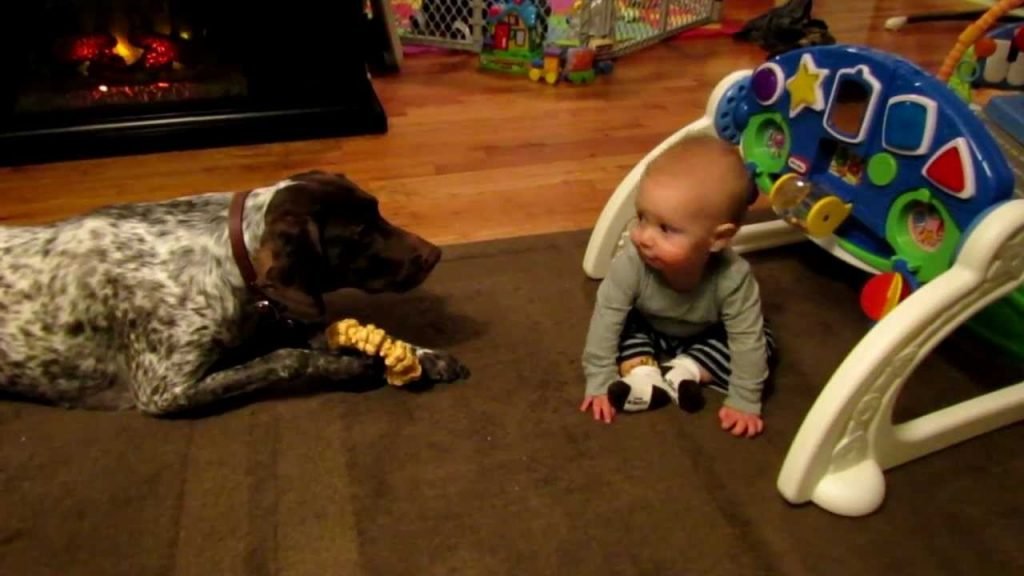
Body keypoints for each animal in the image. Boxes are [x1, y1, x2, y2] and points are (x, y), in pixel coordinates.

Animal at [0, 169, 468, 412]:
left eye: (378, 211)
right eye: (359, 232)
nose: (435, 254)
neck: (221, 253)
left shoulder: (280, 313)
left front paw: (423, 354)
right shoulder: (164, 389)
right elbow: (286, 359)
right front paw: (348, 368)